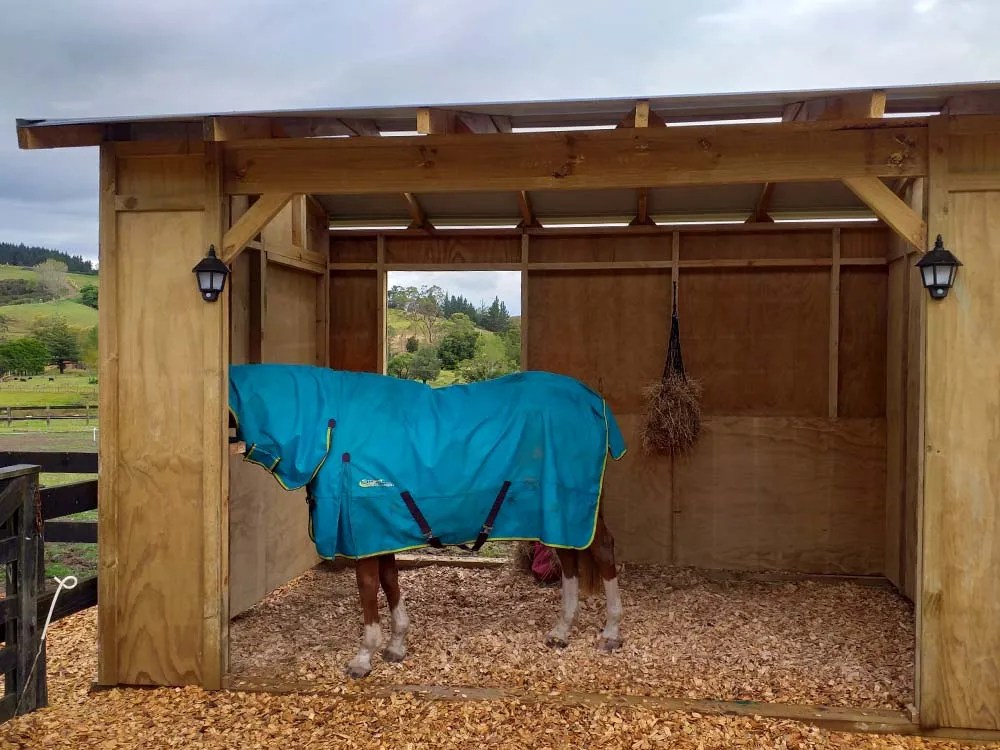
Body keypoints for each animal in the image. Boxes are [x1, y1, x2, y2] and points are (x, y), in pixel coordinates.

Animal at [228, 362, 628, 678]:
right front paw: (396, 646)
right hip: (561, 513)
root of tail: (595, 401)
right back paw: (562, 631)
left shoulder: (363, 531)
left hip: (573, 505)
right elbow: (390, 583)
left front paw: (364, 657)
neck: (333, 427)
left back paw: (610, 633)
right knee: (571, 559)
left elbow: (369, 590)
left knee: (603, 551)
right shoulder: (383, 532)